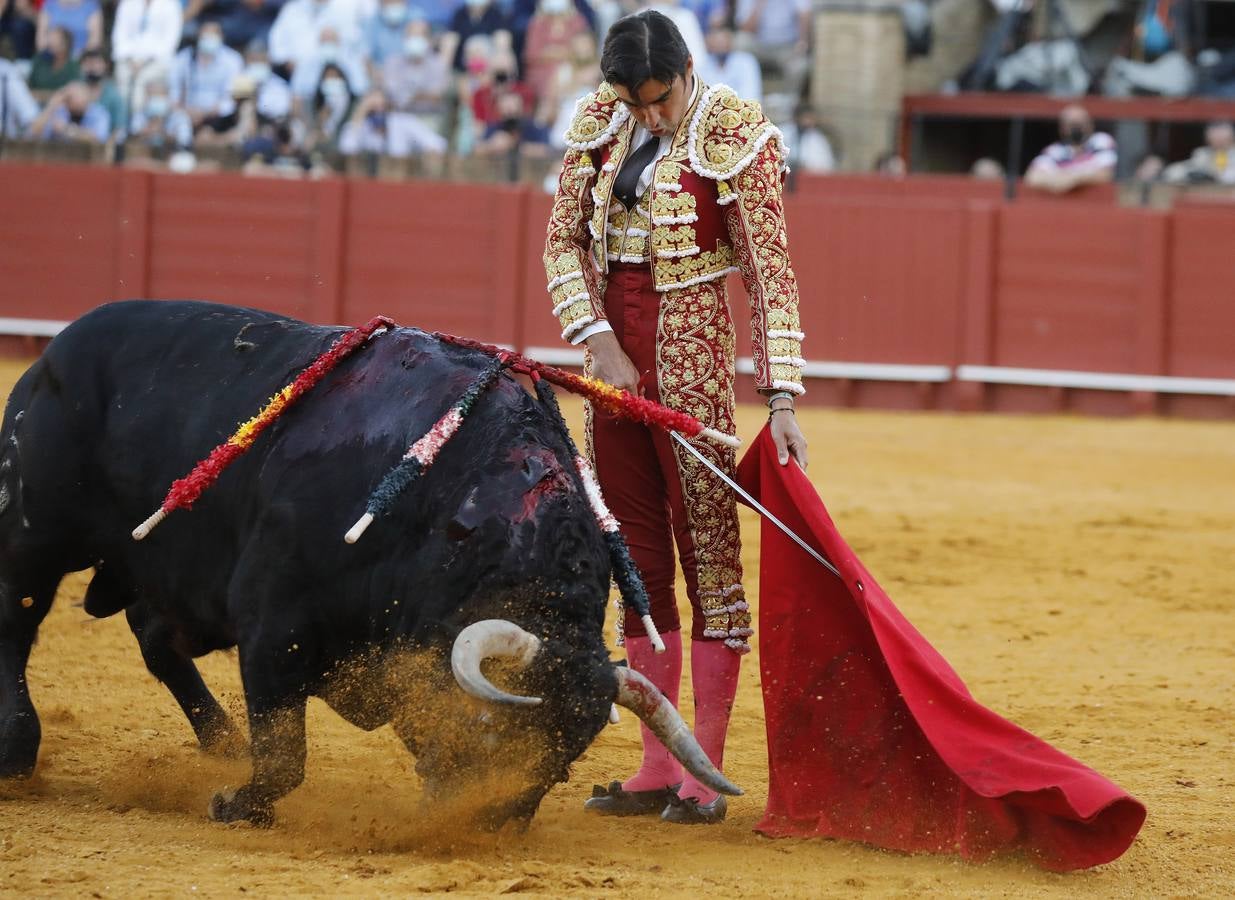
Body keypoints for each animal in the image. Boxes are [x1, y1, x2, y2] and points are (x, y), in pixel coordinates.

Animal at [0, 302, 731, 829]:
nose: (487, 826)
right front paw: (237, 806)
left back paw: (221, 742)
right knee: (20, 616)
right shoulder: (275, 625)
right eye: (495, 725)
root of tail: (57, 350)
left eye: (566, 756)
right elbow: (285, 752)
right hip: (35, 534)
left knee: (155, 641)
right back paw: (18, 752)